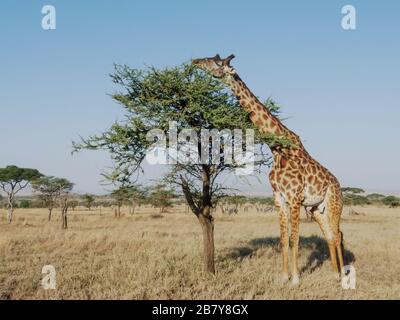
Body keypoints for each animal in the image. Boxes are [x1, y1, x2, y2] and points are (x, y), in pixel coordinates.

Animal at [192, 55, 346, 284]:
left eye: (216, 63)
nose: (195, 61)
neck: (277, 149)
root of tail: (338, 184)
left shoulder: (294, 199)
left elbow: (294, 238)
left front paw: (296, 279)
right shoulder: (279, 199)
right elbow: (283, 238)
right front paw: (283, 277)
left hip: (334, 203)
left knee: (337, 234)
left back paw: (343, 275)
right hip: (317, 208)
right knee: (330, 234)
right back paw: (335, 273)